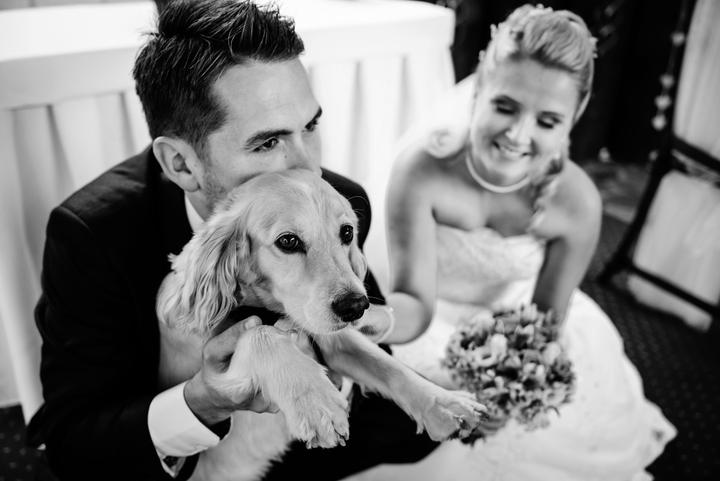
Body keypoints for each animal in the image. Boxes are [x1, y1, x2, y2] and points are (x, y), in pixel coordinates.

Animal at [156, 169, 484, 481]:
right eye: (288, 241)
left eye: (347, 232)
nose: (356, 307)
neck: (275, 312)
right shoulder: (221, 367)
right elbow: (260, 334)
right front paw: (316, 404)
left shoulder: (332, 338)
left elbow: (387, 365)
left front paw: (444, 404)